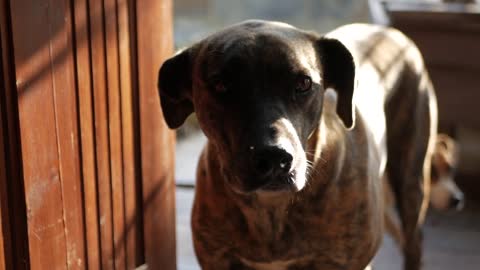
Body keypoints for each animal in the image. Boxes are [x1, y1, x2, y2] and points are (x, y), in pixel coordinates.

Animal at [159, 20, 436, 270]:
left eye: (304, 83)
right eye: (221, 85)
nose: (274, 157)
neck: (271, 209)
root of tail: (388, 30)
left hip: (411, 182)